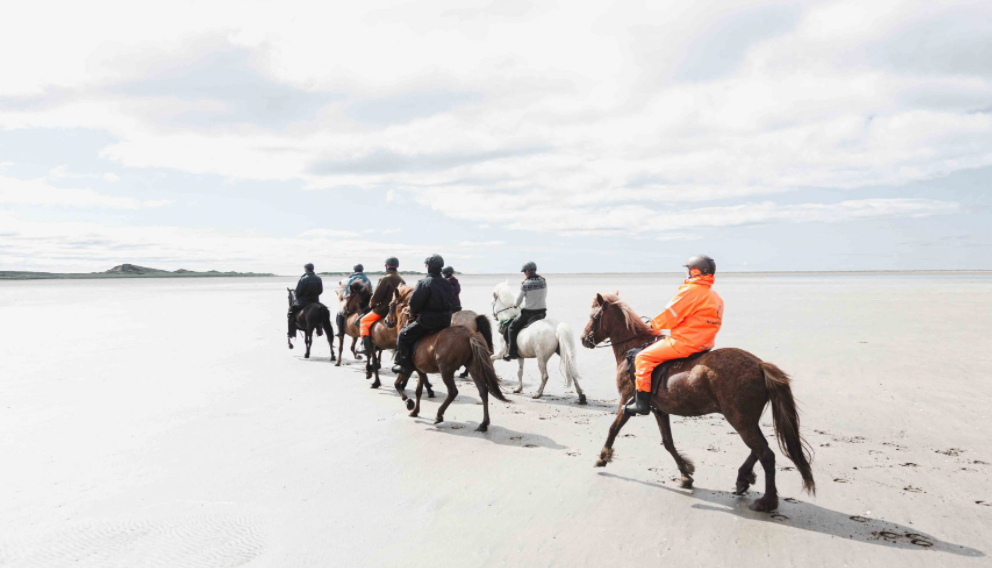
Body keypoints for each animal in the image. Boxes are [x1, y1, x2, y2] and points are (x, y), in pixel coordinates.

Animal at [392, 286, 508, 432]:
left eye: (391, 305)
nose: (388, 321)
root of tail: (469, 334)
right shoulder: (420, 371)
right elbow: (418, 391)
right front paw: (415, 411)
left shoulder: (408, 368)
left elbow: (397, 384)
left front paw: (409, 403)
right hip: (473, 367)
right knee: (483, 391)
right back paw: (483, 424)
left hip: (446, 370)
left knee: (453, 392)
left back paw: (439, 415)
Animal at [580, 292, 812, 516]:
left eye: (593, 316)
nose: (584, 338)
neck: (634, 346)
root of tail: (759, 364)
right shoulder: (660, 410)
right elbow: (668, 442)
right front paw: (685, 474)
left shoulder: (627, 400)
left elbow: (614, 428)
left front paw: (602, 457)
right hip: (746, 421)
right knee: (759, 448)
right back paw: (743, 478)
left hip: (739, 420)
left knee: (766, 454)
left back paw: (766, 501)